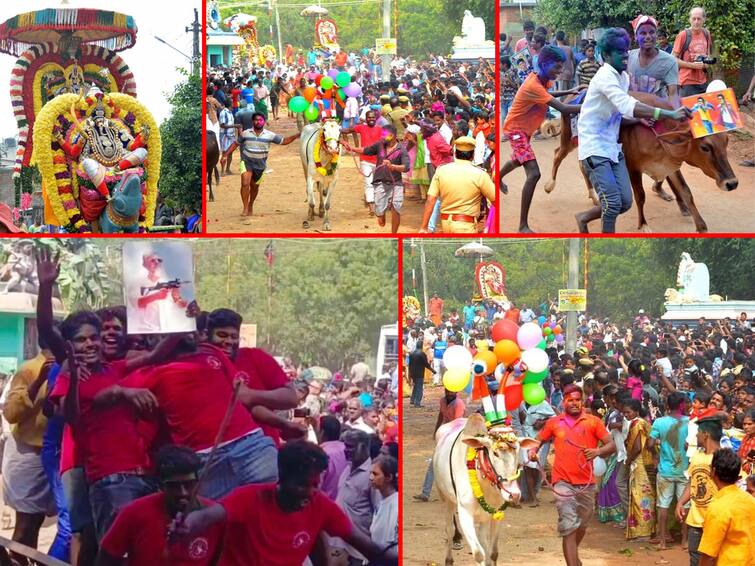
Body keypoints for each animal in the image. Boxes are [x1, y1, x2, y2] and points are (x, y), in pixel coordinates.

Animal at [432, 412, 536, 566]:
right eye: (495, 453)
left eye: (517, 451)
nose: (514, 494)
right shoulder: (465, 514)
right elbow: (478, 554)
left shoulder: (497, 513)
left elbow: (493, 553)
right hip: (447, 500)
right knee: (450, 530)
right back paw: (449, 558)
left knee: (482, 537)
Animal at [544, 91, 740, 233]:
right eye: (705, 147)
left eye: (726, 141)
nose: (732, 183)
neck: (659, 135)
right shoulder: (633, 167)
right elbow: (640, 196)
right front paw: (643, 225)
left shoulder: (671, 166)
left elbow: (686, 192)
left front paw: (701, 226)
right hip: (568, 138)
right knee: (557, 154)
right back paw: (549, 185)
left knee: (581, 165)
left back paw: (593, 196)